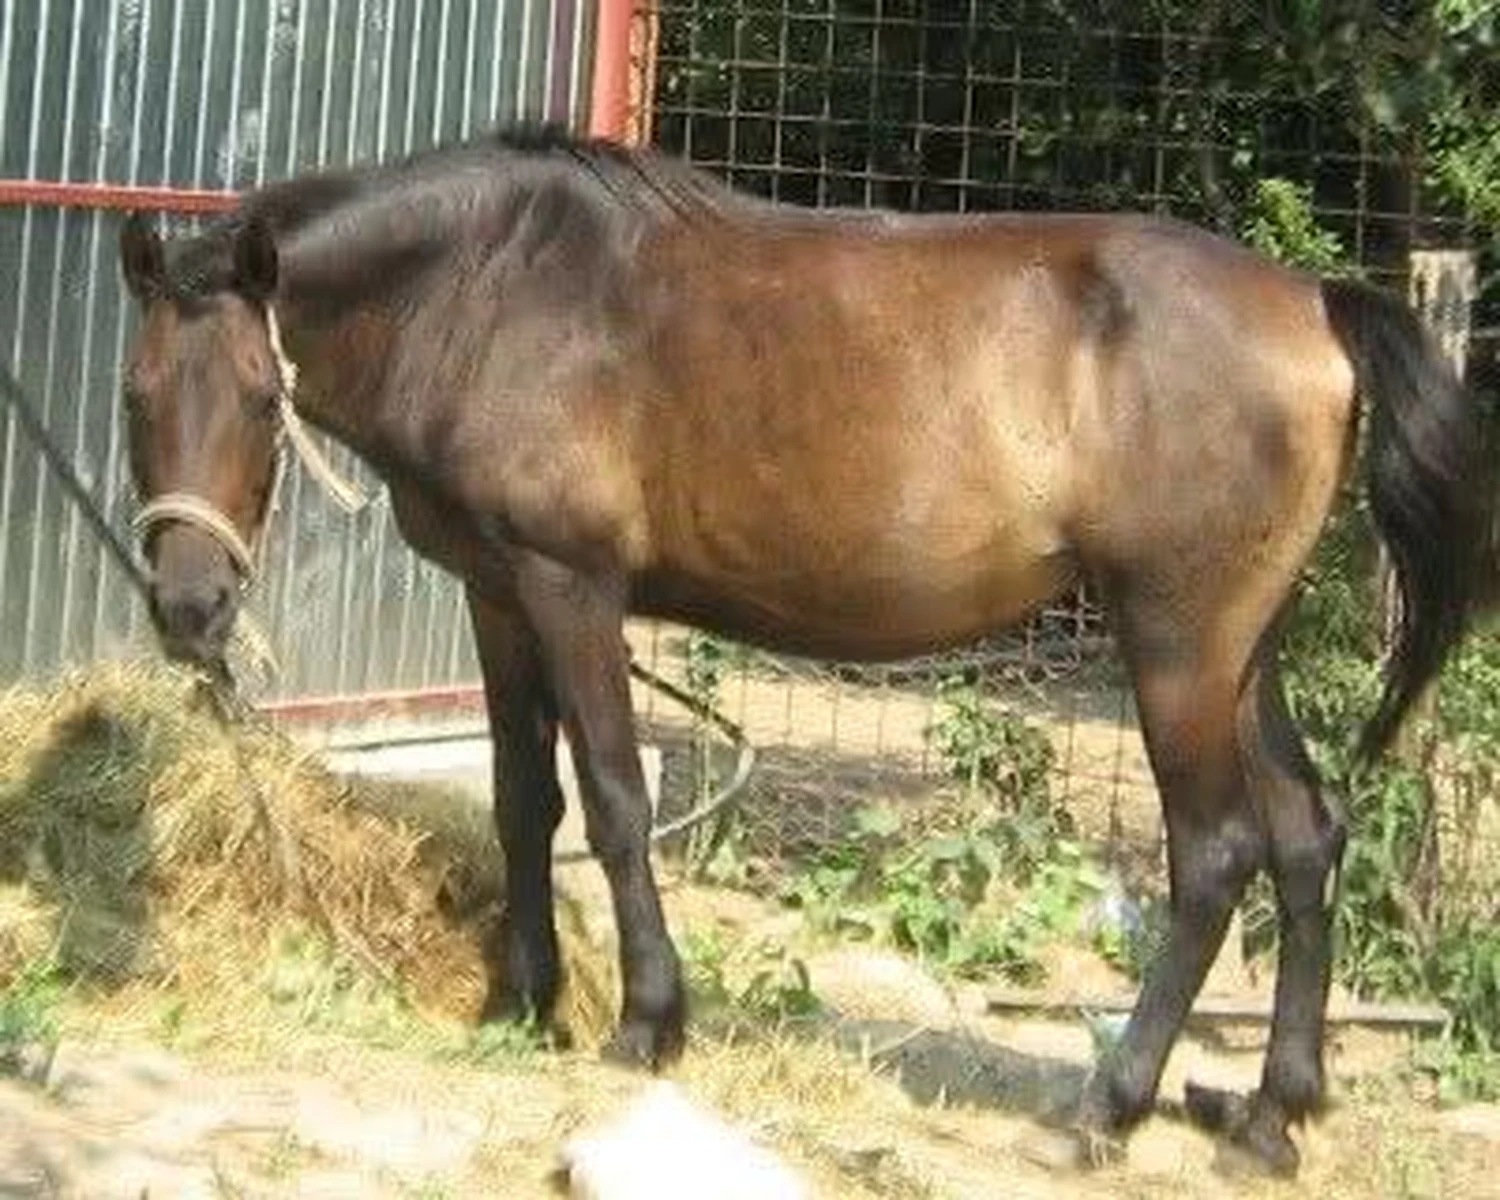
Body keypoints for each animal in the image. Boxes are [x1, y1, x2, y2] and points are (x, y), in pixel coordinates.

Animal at [115, 124, 1492, 1178]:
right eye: (136, 396)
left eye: (261, 398)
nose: (188, 608)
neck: (494, 290)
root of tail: (1314, 303)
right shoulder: (497, 598)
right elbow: (521, 801)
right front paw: (520, 1003)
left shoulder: (571, 591)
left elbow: (612, 801)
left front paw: (647, 1023)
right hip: (1239, 653)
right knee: (1307, 835)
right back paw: (1269, 1116)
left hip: (1176, 647)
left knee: (1215, 856)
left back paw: (1106, 1107)